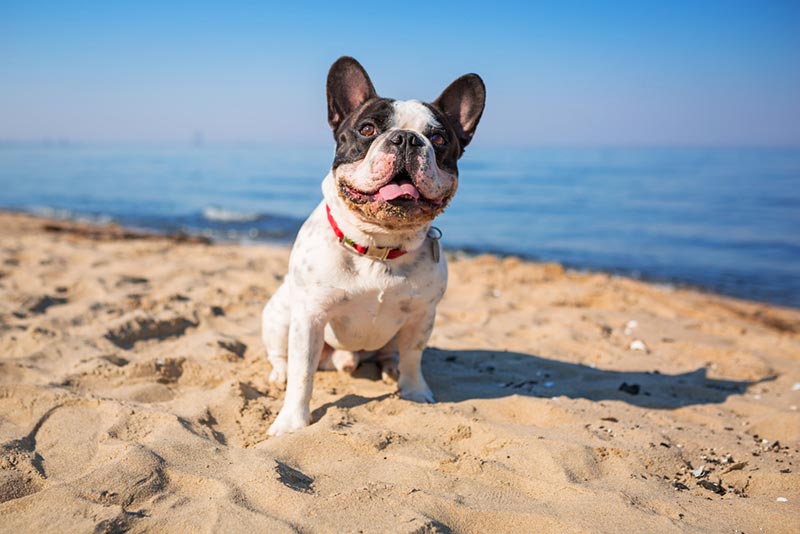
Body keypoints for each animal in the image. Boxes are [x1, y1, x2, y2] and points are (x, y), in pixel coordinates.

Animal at [266, 57, 484, 436]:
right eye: (367, 130)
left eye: (439, 138)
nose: (407, 139)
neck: (379, 246)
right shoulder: (309, 317)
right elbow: (302, 374)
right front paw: (292, 422)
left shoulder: (421, 316)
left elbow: (413, 356)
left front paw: (414, 391)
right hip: (279, 316)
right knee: (281, 357)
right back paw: (279, 374)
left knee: (391, 353)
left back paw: (389, 369)